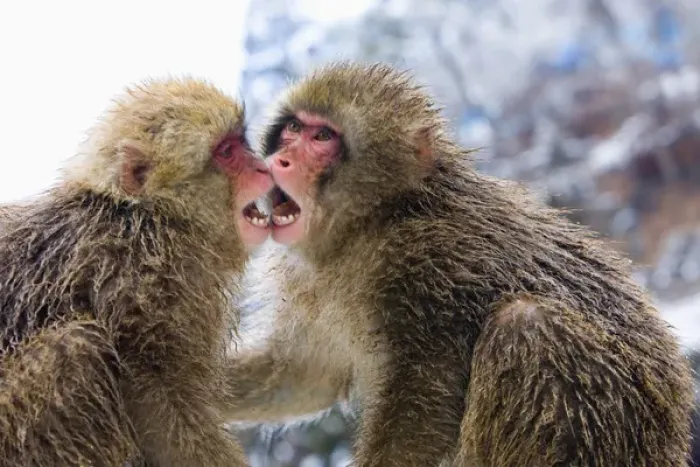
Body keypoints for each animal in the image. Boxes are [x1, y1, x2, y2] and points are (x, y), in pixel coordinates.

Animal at [0, 77, 274, 467]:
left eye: (240, 141)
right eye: (226, 152)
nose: (263, 169)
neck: (150, 216)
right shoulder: (148, 279)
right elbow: (158, 396)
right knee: (77, 350)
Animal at [218, 62, 695, 467]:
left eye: (322, 139)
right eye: (293, 129)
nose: (279, 160)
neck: (372, 223)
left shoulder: (430, 262)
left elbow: (427, 397)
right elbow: (305, 374)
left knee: (527, 325)